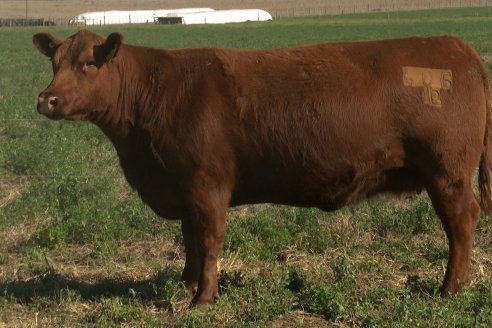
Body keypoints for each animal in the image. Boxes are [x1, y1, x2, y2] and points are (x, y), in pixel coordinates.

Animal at [33, 30, 492, 304]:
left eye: (89, 63)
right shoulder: (186, 191)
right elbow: (190, 240)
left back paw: (450, 288)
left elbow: (210, 241)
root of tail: (456, 45)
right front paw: (186, 283)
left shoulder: (208, 185)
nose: (46, 99)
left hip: (447, 172)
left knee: (461, 222)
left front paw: (203, 298)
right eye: (55, 63)